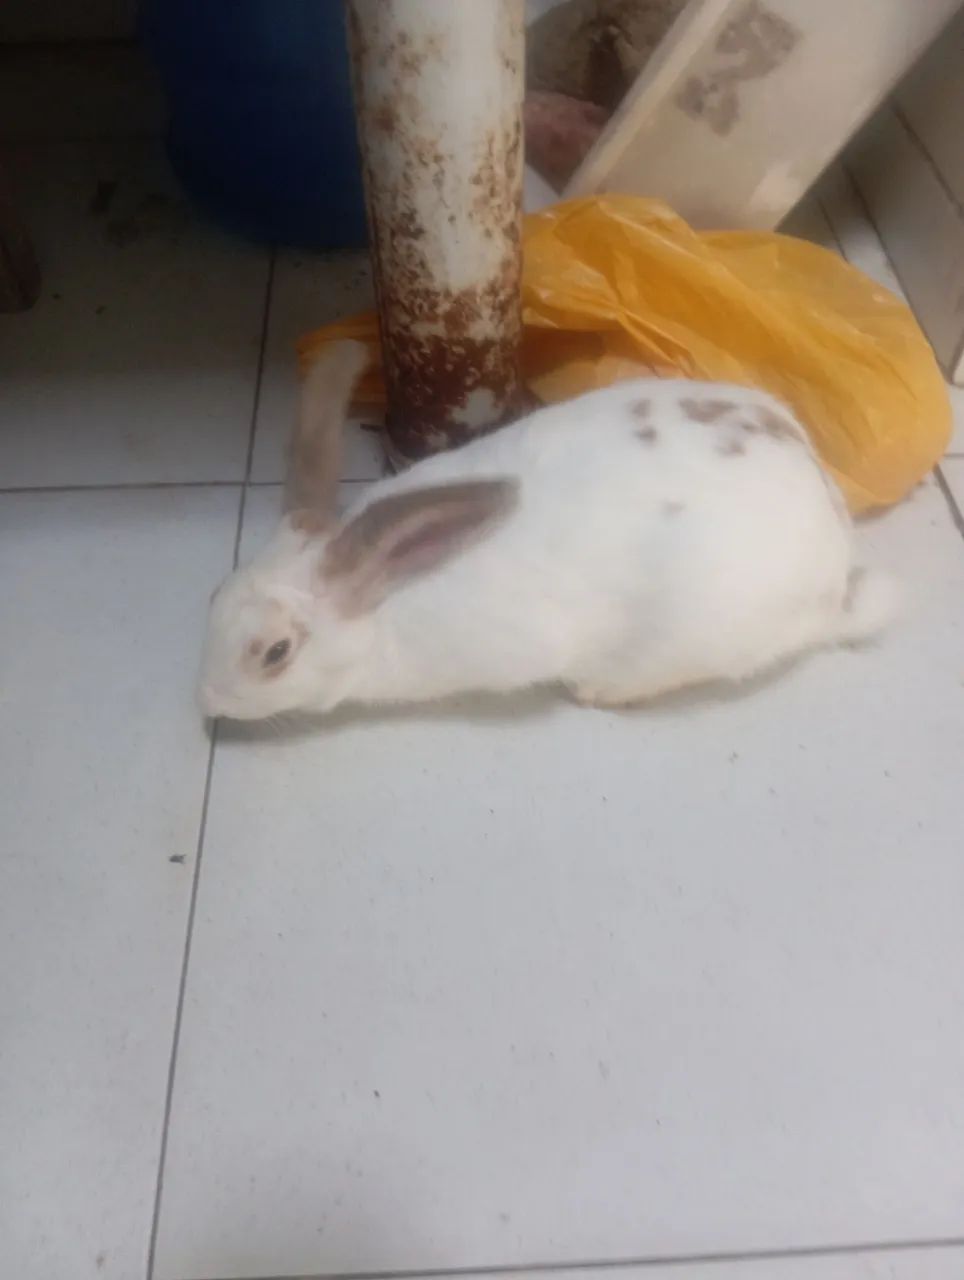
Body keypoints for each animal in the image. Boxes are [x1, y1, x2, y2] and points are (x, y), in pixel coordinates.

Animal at [197, 340, 898, 721]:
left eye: (275, 653)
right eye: (213, 596)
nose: (205, 700)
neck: (385, 602)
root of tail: (838, 569)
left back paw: (597, 691)